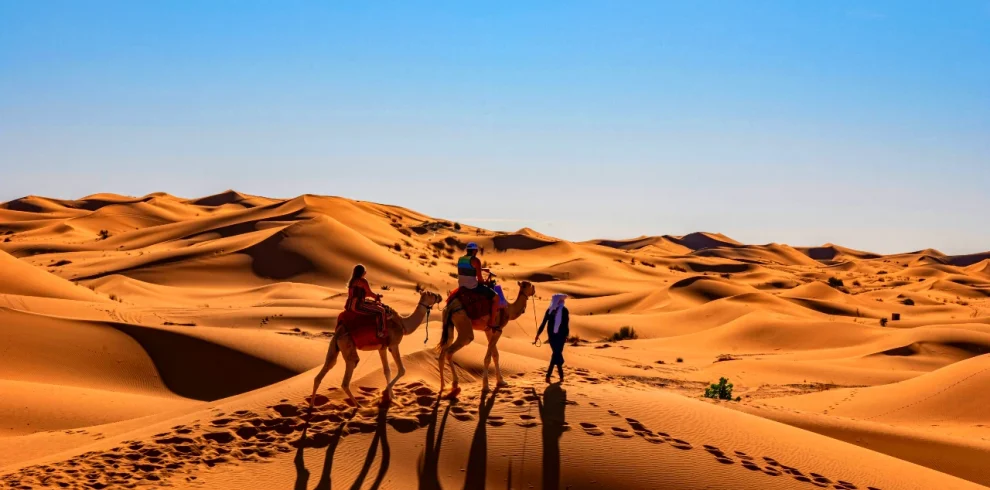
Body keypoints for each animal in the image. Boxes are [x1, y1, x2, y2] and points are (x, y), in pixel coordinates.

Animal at [310, 290, 442, 408]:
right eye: (432, 294)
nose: (440, 296)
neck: (403, 324)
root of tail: (339, 331)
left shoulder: (382, 348)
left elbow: (387, 370)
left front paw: (392, 397)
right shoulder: (394, 345)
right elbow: (402, 370)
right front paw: (387, 392)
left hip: (334, 347)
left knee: (325, 369)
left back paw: (311, 406)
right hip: (347, 345)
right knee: (346, 378)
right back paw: (358, 405)